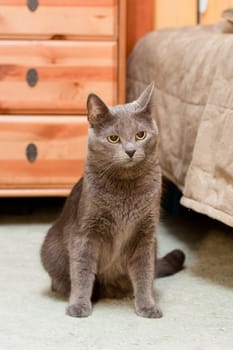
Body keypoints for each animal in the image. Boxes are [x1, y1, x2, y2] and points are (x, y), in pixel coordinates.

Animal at [40, 83, 186, 318]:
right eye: (114, 139)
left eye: (140, 135)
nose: (130, 151)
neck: (125, 190)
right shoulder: (85, 232)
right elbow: (82, 271)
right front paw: (79, 305)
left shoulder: (146, 234)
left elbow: (145, 273)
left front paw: (147, 305)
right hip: (51, 251)